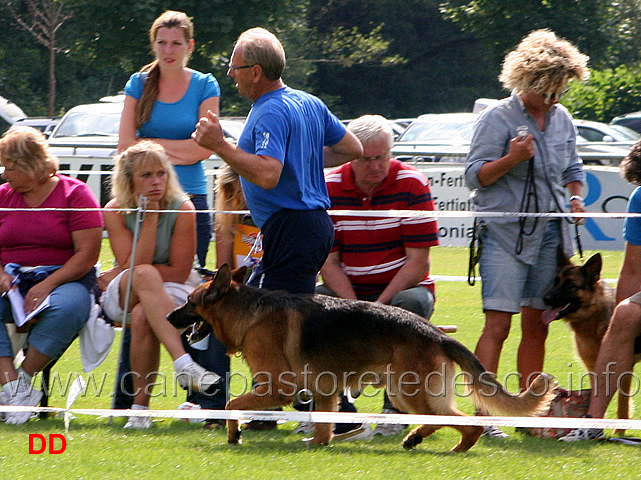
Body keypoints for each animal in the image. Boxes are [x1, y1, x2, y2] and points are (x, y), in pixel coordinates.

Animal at [170, 264, 556, 452]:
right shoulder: (325, 393)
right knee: (453, 418)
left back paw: (448, 446)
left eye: (190, 302)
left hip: (408, 392)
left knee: (463, 421)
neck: (249, 312)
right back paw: (420, 439)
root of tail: (437, 333)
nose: (169, 317)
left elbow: (231, 403)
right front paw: (319, 445)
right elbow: (323, 430)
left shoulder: (278, 388)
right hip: (409, 392)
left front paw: (234, 434)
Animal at [544, 253, 636, 430]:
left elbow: (622, 403)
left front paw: (620, 431)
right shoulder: (593, 366)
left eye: (570, 284)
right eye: (556, 281)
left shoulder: (625, 368)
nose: (546, 298)